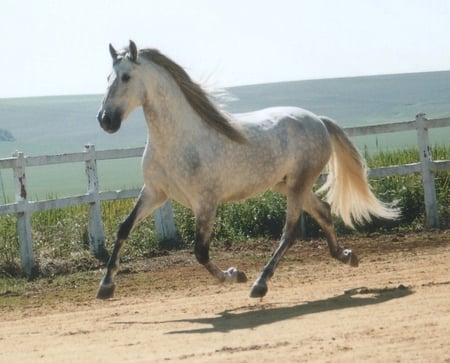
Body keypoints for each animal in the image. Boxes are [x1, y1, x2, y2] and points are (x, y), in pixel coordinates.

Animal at [96, 41, 400, 300]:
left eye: (126, 77)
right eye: (107, 78)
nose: (105, 120)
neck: (178, 140)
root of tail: (318, 120)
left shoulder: (206, 203)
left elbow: (200, 252)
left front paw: (235, 275)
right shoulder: (155, 193)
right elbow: (124, 229)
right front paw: (106, 287)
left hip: (298, 184)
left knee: (290, 232)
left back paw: (260, 284)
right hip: (286, 184)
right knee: (323, 210)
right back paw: (345, 256)